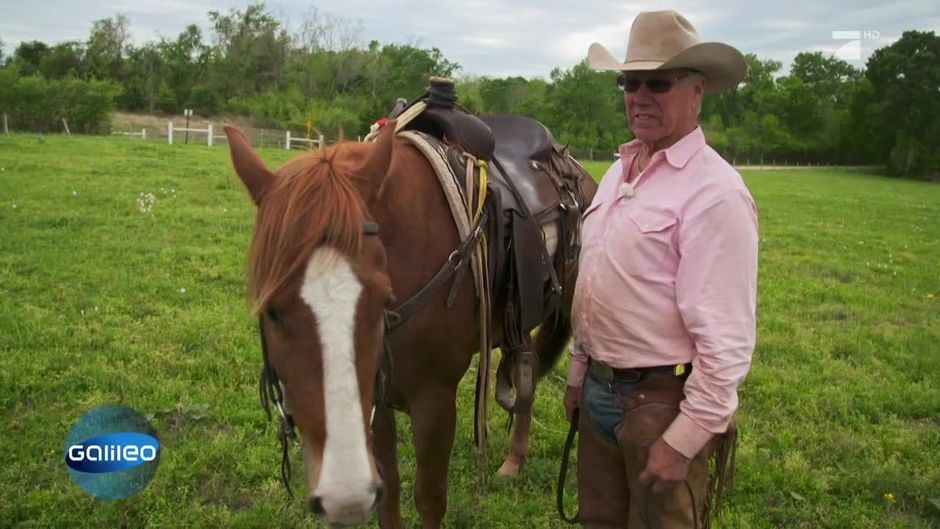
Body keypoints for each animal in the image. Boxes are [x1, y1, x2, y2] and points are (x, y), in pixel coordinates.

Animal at [223, 121, 596, 524]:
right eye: (271, 310)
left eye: (381, 298)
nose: (344, 495)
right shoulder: (377, 397)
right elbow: (390, 493)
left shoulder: (434, 398)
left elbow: (429, 498)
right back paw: (514, 461)